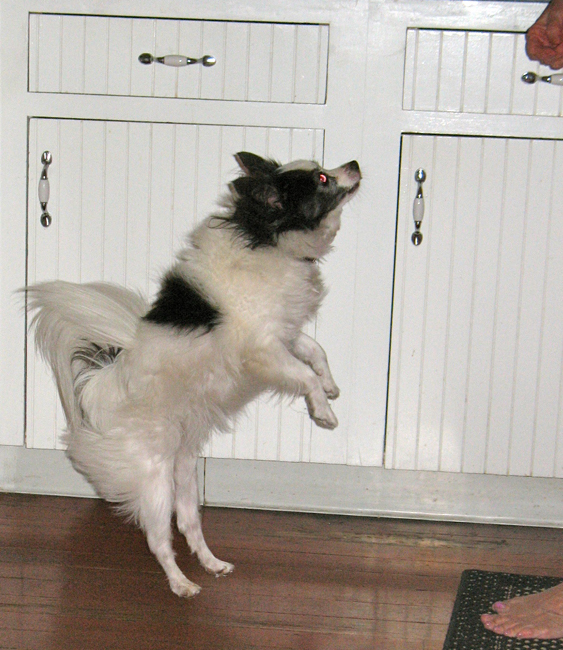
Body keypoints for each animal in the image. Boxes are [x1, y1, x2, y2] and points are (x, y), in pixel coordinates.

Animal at [26, 152, 361, 597]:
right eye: (323, 179)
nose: (355, 163)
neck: (266, 238)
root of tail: (99, 387)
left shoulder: (284, 335)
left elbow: (315, 352)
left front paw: (330, 386)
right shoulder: (264, 348)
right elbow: (303, 373)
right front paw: (323, 411)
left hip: (183, 474)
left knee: (188, 524)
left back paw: (211, 563)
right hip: (155, 482)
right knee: (159, 540)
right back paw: (181, 584)